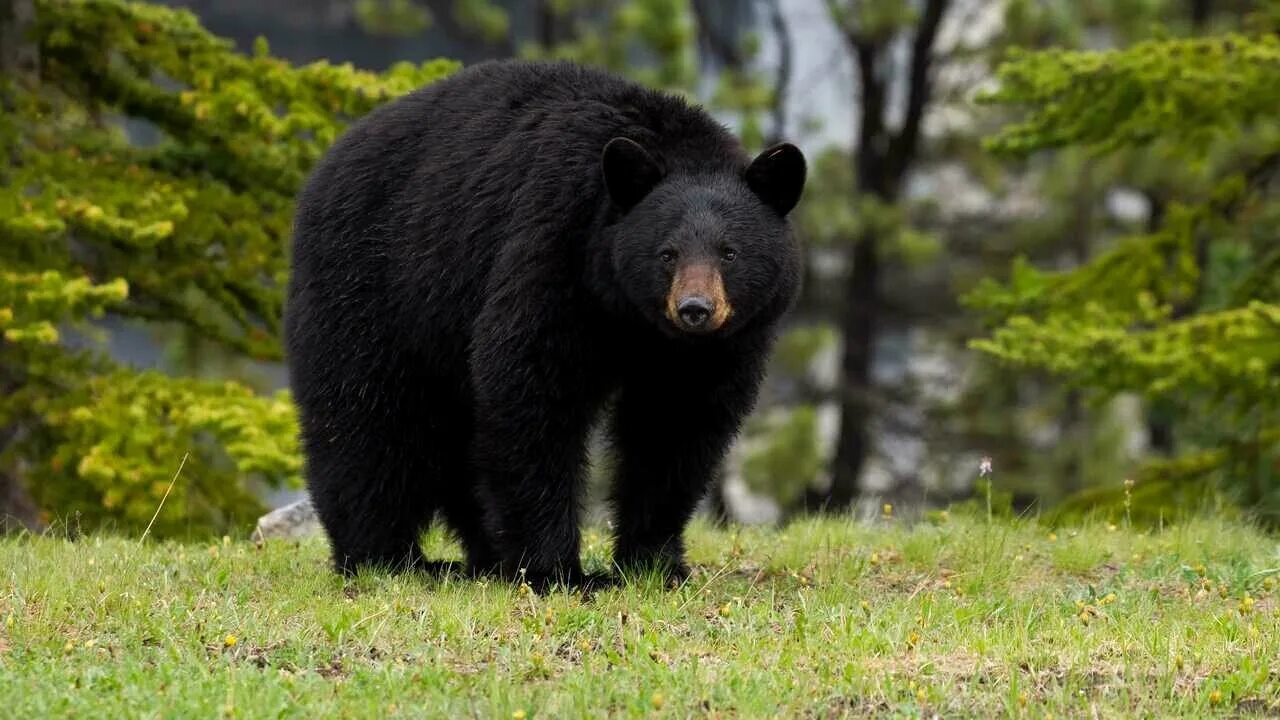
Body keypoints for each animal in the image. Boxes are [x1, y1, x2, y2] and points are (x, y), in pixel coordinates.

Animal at [286, 58, 803, 586]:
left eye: (729, 252)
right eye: (667, 253)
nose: (695, 309)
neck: (631, 318)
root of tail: (328, 160)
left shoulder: (715, 348)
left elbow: (675, 422)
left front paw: (654, 563)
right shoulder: (554, 250)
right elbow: (533, 391)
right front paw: (559, 571)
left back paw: (482, 555)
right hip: (374, 283)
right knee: (367, 418)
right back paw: (385, 558)